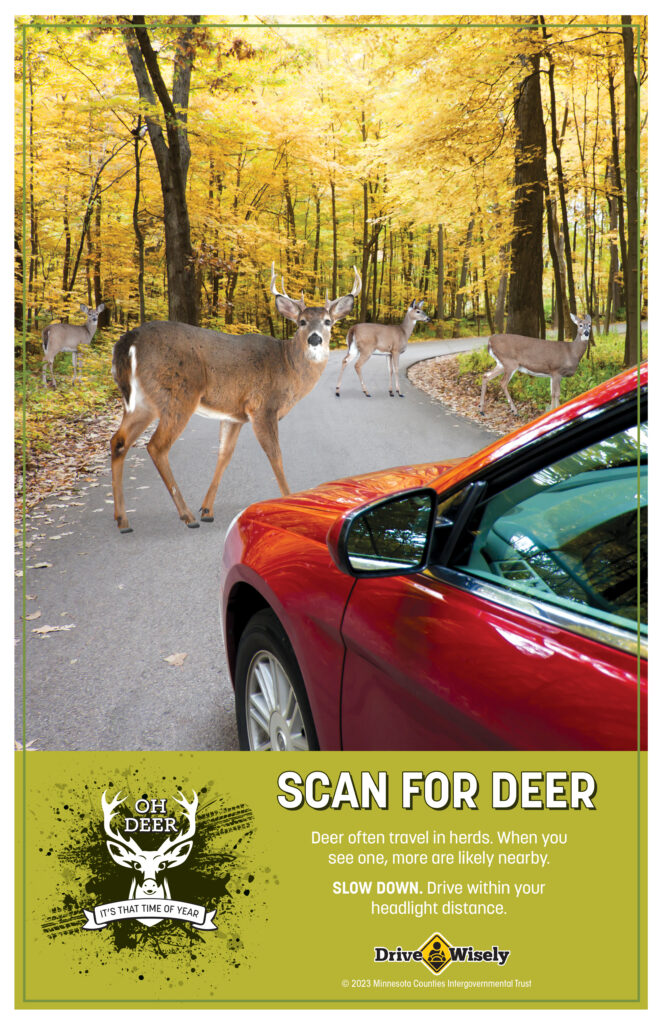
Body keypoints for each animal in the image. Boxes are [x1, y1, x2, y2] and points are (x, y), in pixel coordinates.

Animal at [110, 264, 361, 532]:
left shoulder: (234, 416)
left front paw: (207, 510)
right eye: (301, 322)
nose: (315, 338)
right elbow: (275, 454)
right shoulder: (263, 406)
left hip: (142, 402)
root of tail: (129, 341)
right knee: (156, 446)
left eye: (328, 321)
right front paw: (290, 500)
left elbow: (224, 455)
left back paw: (123, 520)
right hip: (179, 394)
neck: (287, 366)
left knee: (118, 441)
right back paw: (186, 516)